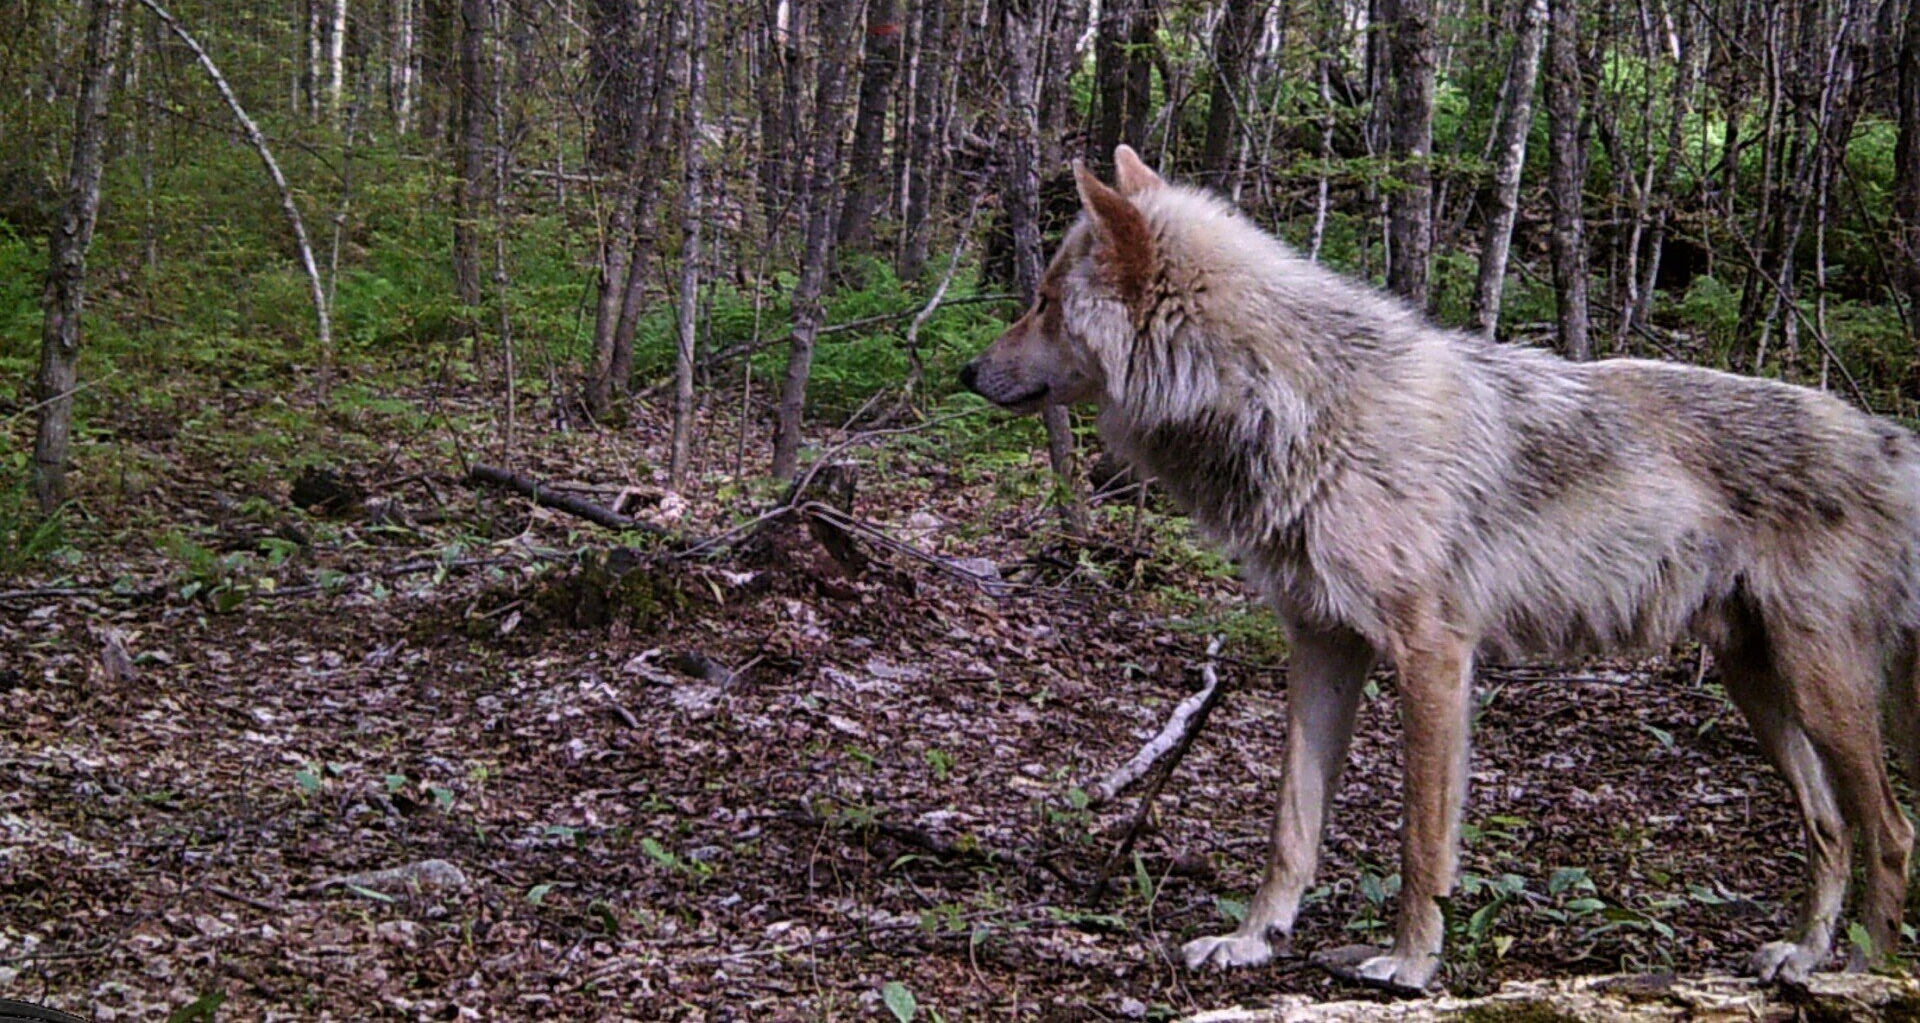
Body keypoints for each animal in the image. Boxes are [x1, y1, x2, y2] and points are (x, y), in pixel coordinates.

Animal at [960, 146, 1920, 992]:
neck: (1297, 408)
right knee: (1831, 826)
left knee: (1890, 828)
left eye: (1043, 302)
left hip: (1818, 686)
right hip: (1757, 683)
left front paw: (1411, 963)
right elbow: (1290, 826)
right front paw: (1252, 940)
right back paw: (1802, 956)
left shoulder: (1434, 655)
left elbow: (1421, 839)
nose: (966, 368)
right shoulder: (1322, 648)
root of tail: (1888, 440)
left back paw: (1862, 972)